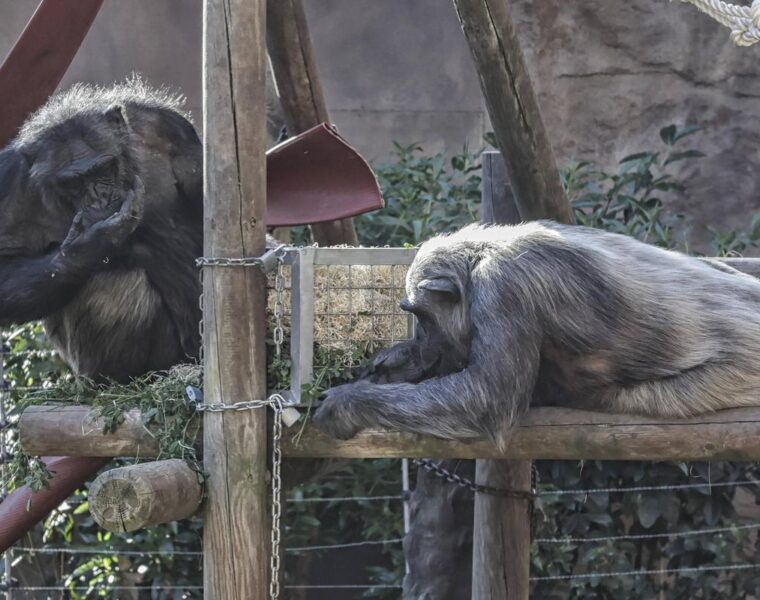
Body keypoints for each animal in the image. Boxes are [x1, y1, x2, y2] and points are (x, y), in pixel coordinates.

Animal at [0, 78, 202, 380]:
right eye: (74, 182)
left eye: (104, 168)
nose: (100, 196)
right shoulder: (11, 185)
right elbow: (6, 264)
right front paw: (92, 244)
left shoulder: (169, 128)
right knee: (115, 278)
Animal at [314, 221, 760, 446]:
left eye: (422, 317)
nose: (422, 340)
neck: (481, 259)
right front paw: (393, 363)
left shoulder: (502, 290)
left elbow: (483, 398)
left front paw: (348, 402)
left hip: (732, 379)